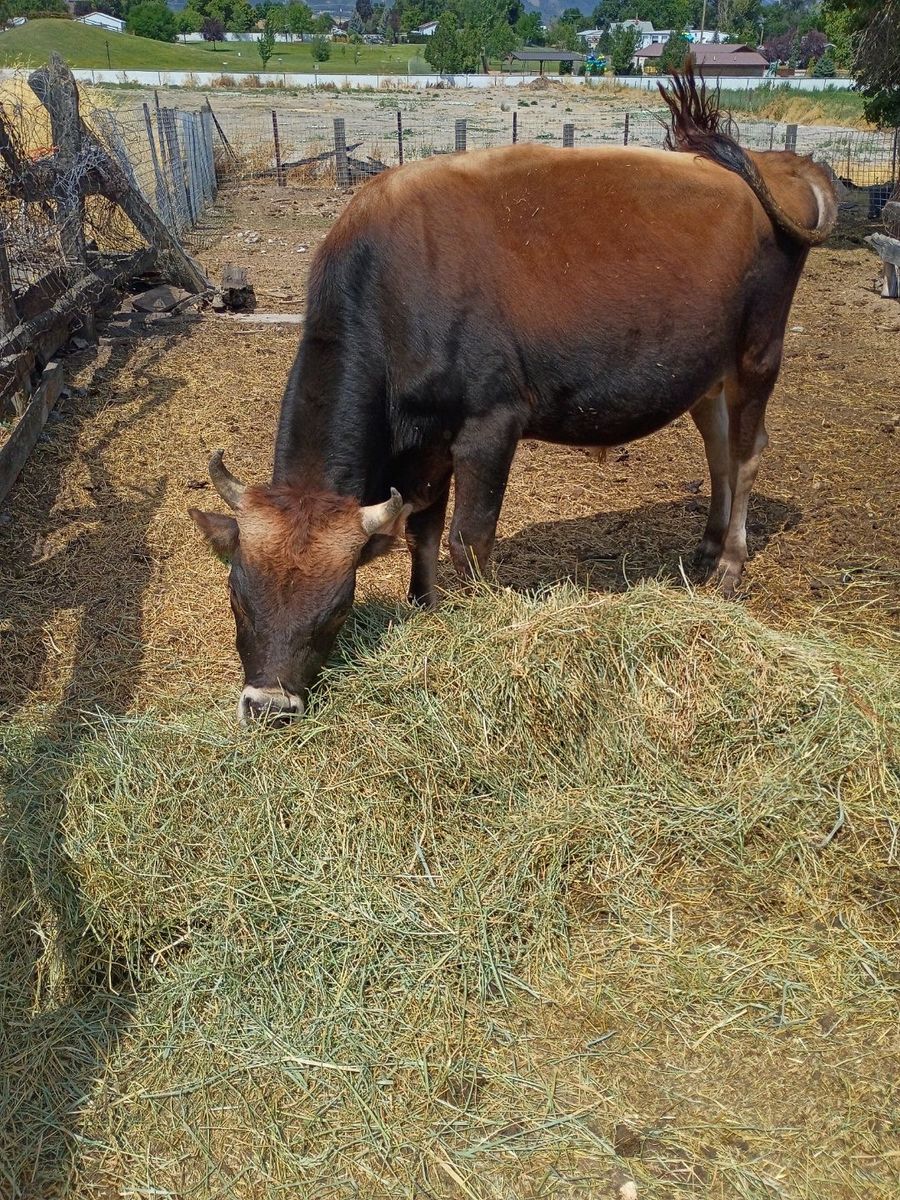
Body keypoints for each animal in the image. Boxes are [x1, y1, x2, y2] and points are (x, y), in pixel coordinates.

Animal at [190, 65, 837, 724]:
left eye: (338, 604)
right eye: (237, 595)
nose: (268, 705)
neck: (396, 286)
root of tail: (772, 163)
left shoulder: (489, 426)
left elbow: (468, 540)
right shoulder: (424, 441)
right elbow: (423, 528)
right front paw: (424, 606)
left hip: (759, 352)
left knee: (748, 451)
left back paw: (730, 564)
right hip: (706, 369)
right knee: (718, 448)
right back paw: (706, 545)